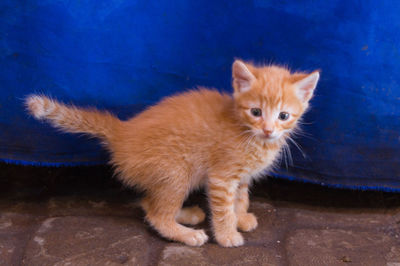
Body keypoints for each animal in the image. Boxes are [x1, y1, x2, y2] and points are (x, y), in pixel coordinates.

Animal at [25, 60, 318, 247]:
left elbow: (241, 198)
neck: (248, 133)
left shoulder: (242, 177)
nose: (268, 129)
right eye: (256, 112)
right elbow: (224, 208)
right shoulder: (221, 177)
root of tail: (123, 132)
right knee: (156, 214)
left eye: (283, 116)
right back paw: (187, 234)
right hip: (177, 171)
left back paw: (188, 215)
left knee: (148, 204)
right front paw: (227, 235)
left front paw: (240, 217)